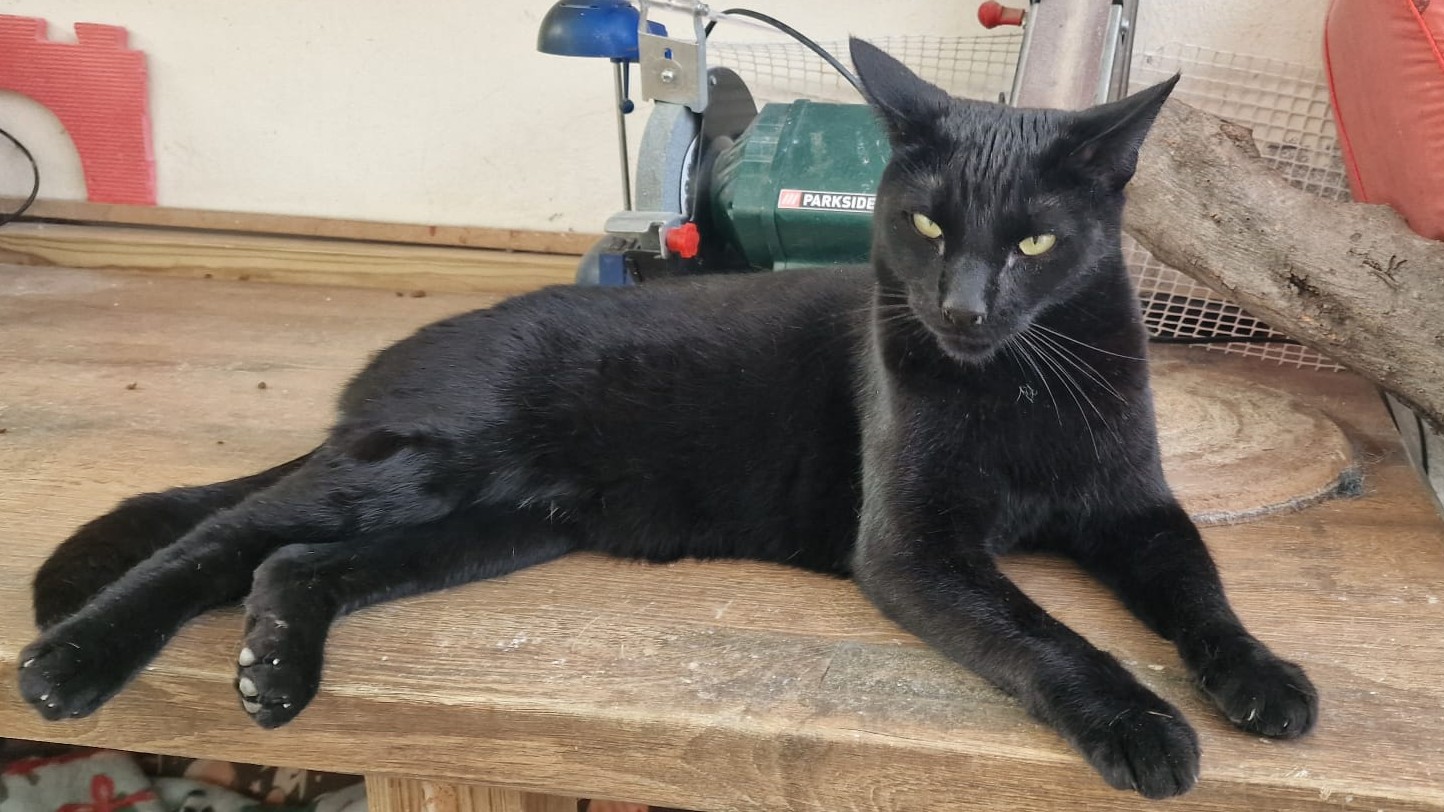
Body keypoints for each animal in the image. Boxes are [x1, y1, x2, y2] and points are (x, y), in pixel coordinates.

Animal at [18, 39, 1316, 798]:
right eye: (928, 225)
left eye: (1036, 242)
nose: (961, 305)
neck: (1022, 383)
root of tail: (392, 363)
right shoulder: (915, 547)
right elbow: (1049, 634)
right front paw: (1142, 722)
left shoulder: (1137, 510)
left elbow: (1202, 595)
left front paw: (1262, 678)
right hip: (421, 470)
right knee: (223, 536)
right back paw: (73, 656)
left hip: (499, 525)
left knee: (293, 561)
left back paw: (273, 667)